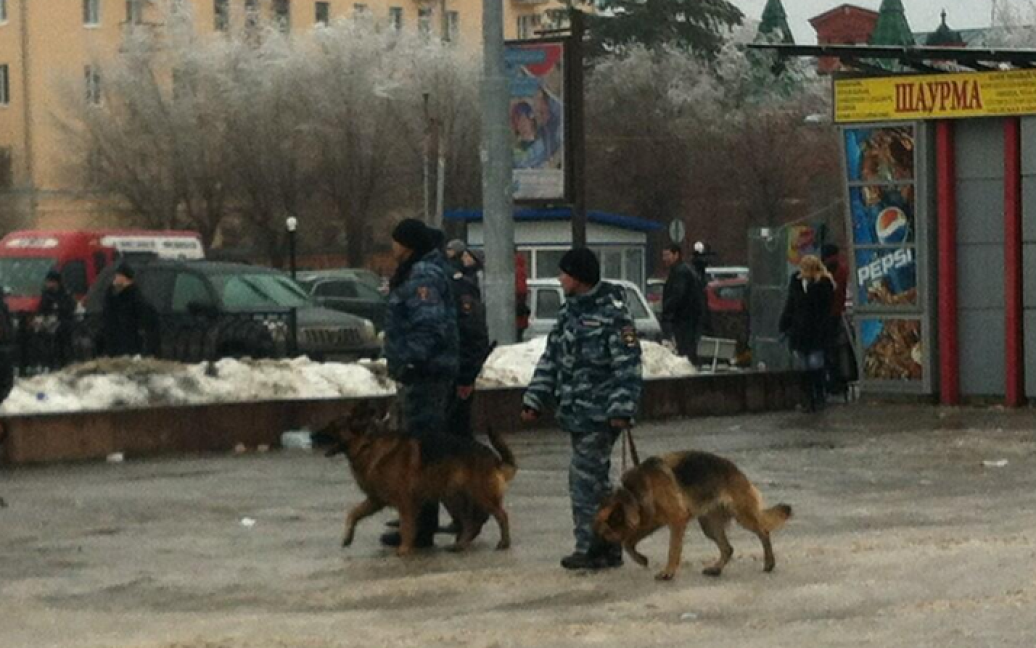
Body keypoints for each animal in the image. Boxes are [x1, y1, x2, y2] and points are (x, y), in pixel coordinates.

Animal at [319, 402, 518, 551]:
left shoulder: (405, 503)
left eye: (334, 426)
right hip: (453, 496)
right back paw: (460, 545)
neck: (367, 445)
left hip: (478, 495)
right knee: (472, 524)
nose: (315, 436)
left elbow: (407, 528)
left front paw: (403, 551)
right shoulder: (375, 501)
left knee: (501, 515)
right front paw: (347, 537)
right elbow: (353, 513)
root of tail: (494, 458)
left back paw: (504, 543)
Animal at [592, 449, 791, 580]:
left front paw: (668, 572)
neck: (633, 493)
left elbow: (673, 549)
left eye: (605, 535)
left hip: (743, 516)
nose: (597, 557)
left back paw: (769, 562)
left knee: (763, 532)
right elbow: (628, 542)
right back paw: (716, 569)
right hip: (709, 526)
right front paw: (641, 559)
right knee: (728, 548)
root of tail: (737, 471)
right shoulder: (651, 522)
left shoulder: (677, 520)